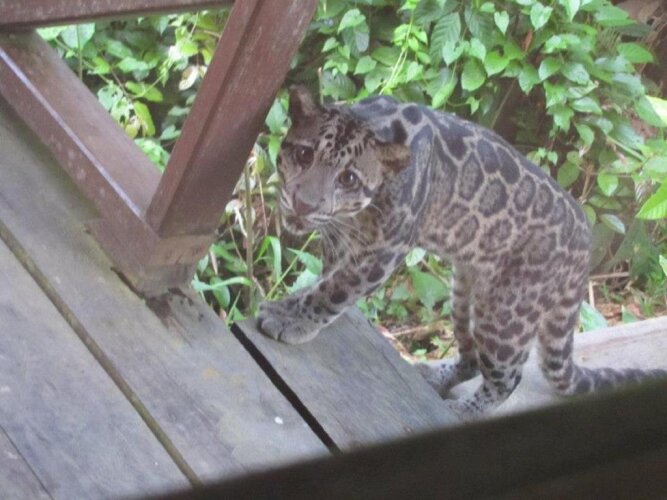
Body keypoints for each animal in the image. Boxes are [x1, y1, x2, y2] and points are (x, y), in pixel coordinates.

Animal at [257, 86, 667, 420]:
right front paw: (296, 304)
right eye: (304, 154)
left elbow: (334, 289)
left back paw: (462, 411)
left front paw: (291, 317)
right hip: (465, 294)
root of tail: (584, 239)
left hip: (505, 315)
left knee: (508, 377)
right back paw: (434, 376)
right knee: (470, 359)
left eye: (348, 179)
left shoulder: (384, 251)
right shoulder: (340, 240)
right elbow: (329, 276)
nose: (303, 204)